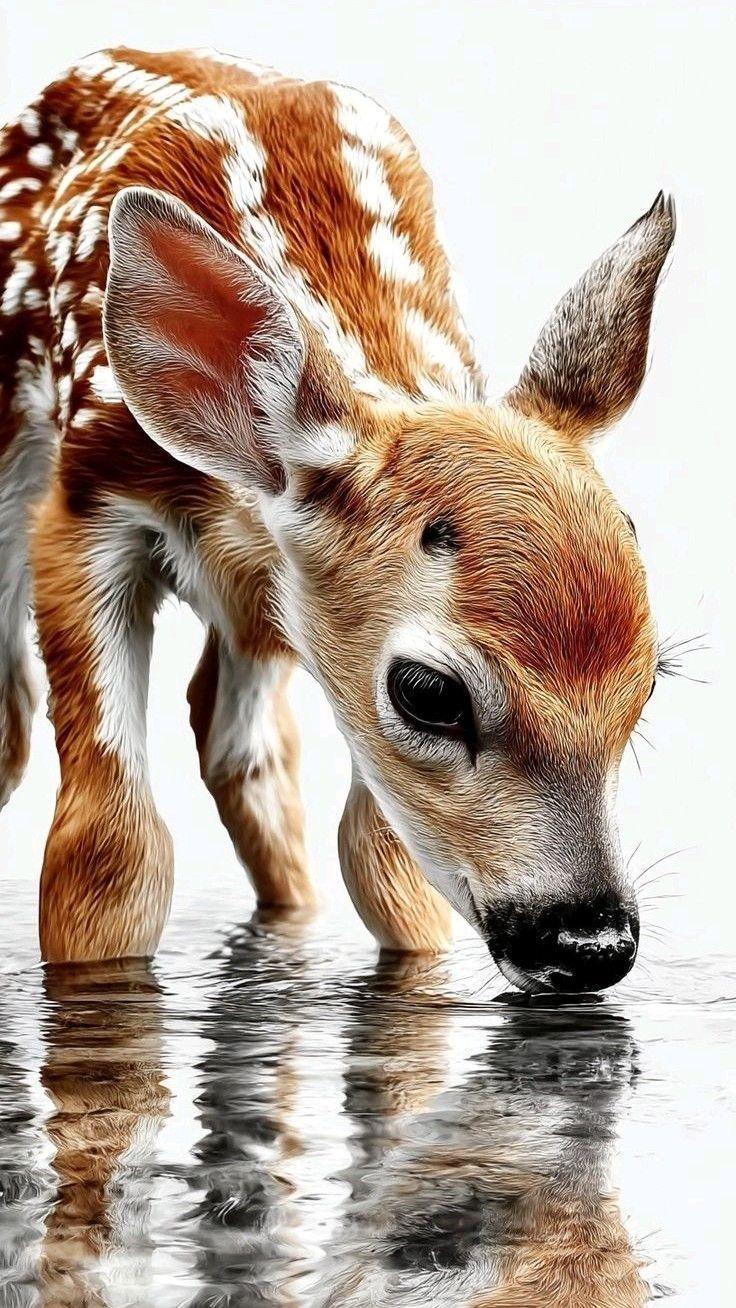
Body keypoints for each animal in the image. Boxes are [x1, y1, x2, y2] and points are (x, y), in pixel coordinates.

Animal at [0, 47, 674, 985]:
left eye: (649, 679)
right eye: (428, 694)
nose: (591, 941)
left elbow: (384, 865)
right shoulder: (87, 505)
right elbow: (108, 859)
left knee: (239, 745)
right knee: (18, 723)